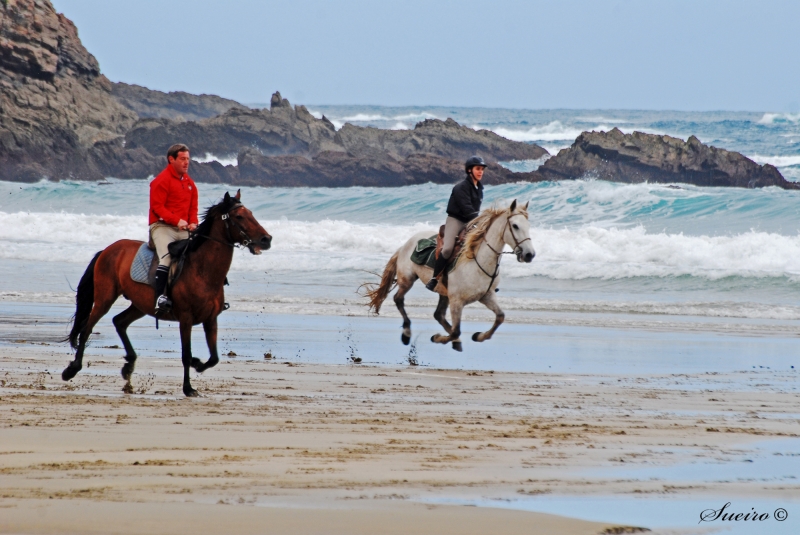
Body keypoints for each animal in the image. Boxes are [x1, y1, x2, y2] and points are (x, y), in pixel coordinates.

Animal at [64, 191, 270, 396]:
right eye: (239, 216)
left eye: (251, 213)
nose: (266, 239)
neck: (202, 270)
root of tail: (108, 249)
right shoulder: (186, 319)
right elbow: (186, 355)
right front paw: (188, 388)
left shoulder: (211, 319)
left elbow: (214, 358)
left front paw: (197, 364)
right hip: (105, 299)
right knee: (87, 328)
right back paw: (72, 369)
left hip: (141, 305)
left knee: (119, 322)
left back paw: (129, 365)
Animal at [366, 200, 536, 352]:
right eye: (515, 226)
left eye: (528, 226)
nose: (530, 255)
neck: (477, 261)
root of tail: (405, 244)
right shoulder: (457, 301)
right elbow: (456, 330)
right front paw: (437, 338)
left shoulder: (486, 296)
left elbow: (500, 317)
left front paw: (478, 336)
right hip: (407, 280)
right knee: (399, 299)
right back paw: (407, 334)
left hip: (443, 292)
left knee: (438, 314)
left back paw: (455, 341)